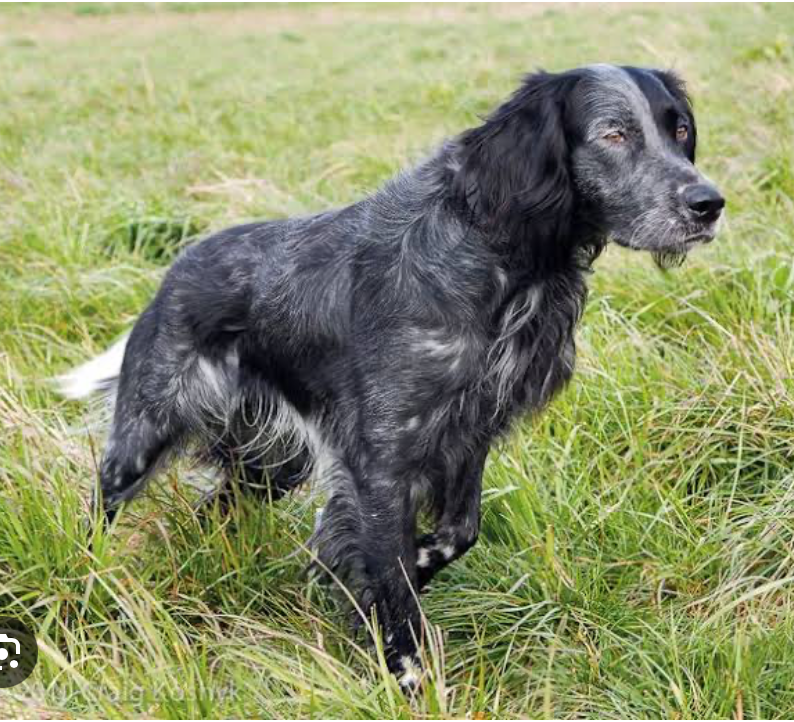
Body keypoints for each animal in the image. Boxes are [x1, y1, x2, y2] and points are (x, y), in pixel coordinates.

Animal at [58, 66, 720, 688]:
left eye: (680, 129)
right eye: (614, 133)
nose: (709, 204)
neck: (500, 259)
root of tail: (178, 267)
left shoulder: (467, 436)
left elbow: (456, 533)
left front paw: (364, 573)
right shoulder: (381, 459)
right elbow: (394, 582)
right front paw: (406, 674)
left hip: (274, 463)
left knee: (212, 509)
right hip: (146, 430)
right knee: (99, 509)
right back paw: (86, 580)